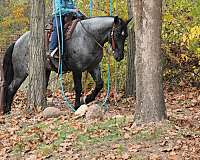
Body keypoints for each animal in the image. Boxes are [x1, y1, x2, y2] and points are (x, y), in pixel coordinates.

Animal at [1, 16, 131, 113]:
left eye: (126, 35)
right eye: (117, 34)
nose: (119, 56)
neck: (88, 37)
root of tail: (17, 42)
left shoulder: (93, 67)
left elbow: (99, 84)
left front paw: (88, 99)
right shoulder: (77, 69)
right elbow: (78, 87)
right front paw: (77, 105)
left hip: (45, 70)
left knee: (42, 85)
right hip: (21, 73)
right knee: (11, 87)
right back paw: (7, 110)